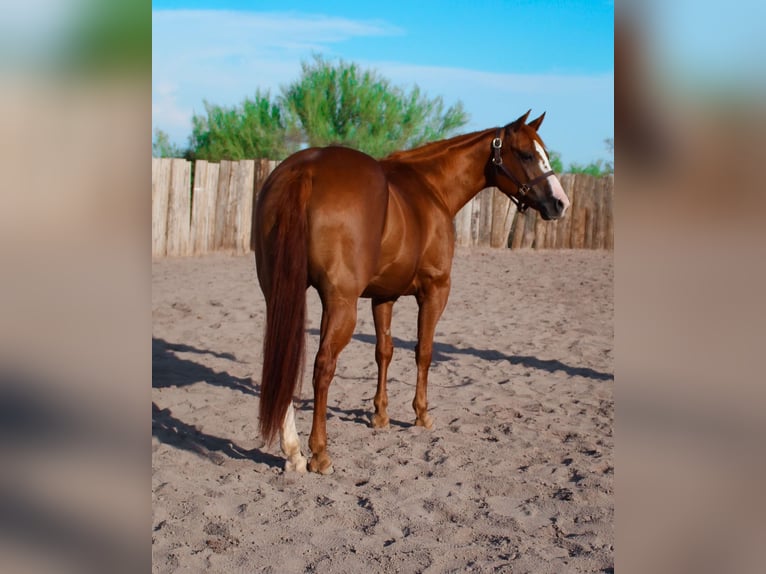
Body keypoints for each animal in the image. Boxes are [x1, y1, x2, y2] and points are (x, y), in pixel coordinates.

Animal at [253, 109, 570, 474]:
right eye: (527, 154)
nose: (560, 203)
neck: (431, 187)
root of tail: (306, 169)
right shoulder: (435, 290)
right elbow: (424, 351)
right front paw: (421, 414)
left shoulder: (383, 296)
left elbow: (384, 351)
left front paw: (380, 415)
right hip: (340, 303)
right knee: (323, 366)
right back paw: (319, 453)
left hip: (279, 295)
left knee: (284, 363)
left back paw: (292, 451)